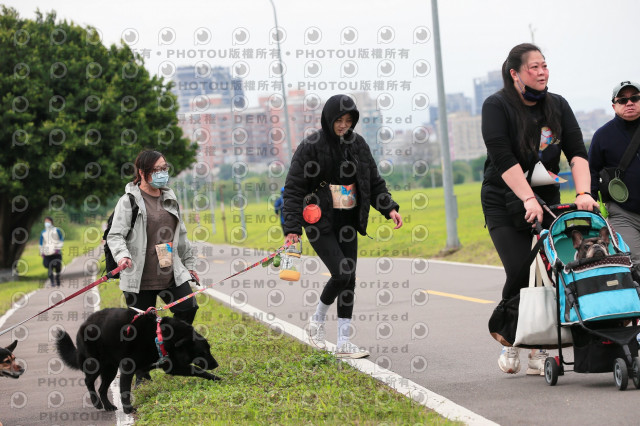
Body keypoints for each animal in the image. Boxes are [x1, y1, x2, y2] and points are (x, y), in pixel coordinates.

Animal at [55, 308, 219, 414]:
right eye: (203, 352)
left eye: (209, 349)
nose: (216, 364)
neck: (160, 335)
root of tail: (83, 325)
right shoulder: (128, 367)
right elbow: (125, 390)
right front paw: (128, 409)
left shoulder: (172, 365)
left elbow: (198, 370)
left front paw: (216, 378)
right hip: (95, 364)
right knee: (88, 381)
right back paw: (97, 403)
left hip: (110, 369)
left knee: (102, 388)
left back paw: (108, 406)